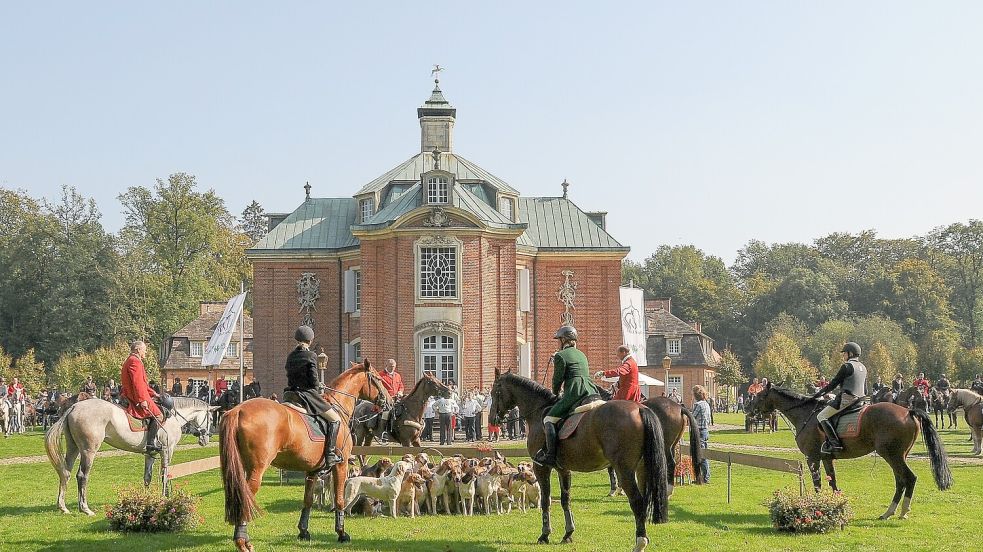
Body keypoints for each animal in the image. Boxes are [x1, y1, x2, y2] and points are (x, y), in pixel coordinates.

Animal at [44, 394, 217, 516]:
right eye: (210, 418)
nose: (206, 439)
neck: (173, 417)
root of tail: (74, 407)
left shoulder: (150, 454)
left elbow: (147, 477)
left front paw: (147, 499)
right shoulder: (167, 450)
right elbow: (165, 475)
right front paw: (164, 497)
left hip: (73, 448)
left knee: (65, 472)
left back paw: (63, 507)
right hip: (88, 451)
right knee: (82, 475)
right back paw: (85, 508)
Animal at [219, 360, 392, 548]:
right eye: (378, 378)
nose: (390, 401)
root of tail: (238, 410)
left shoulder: (312, 471)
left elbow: (307, 500)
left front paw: (303, 532)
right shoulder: (341, 464)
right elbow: (340, 500)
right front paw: (341, 533)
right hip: (257, 469)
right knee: (246, 498)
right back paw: (242, 541)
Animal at [490, 368, 672, 552]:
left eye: (494, 392)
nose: (492, 419)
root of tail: (640, 409)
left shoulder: (541, 467)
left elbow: (546, 500)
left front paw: (545, 534)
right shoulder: (563, 469)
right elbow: (565, 500)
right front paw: (568, 533)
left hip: (625, 470)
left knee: (637, 501)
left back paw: (640, 542)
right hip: (643, 468)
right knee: (645, 499)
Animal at [748, 382, 948, 520]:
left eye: (760, 395)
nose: (750, 411)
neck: (805, 414)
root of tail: (909, 411)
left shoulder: (812, 458)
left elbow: (818, 485)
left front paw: (817, 506)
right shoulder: (827, 458)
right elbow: (833, 483)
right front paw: (836, 506)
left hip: (892, 455)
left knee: (909, 478)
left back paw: (902, 511)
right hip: (898, 456)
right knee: (901, 481)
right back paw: (888, 512)